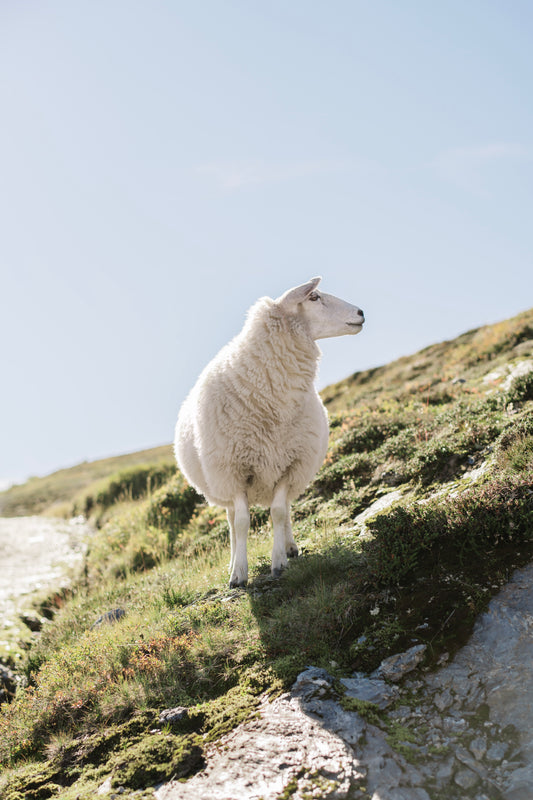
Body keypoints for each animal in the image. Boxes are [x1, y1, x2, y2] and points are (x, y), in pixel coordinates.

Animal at [174, 277, 365, 587]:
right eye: (313, 297)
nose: (361, 313)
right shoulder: (234, 471)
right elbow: (241, 523)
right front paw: (238, 574)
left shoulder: (291, 463)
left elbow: (278, 512)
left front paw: (279, 563)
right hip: (221, 483)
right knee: (231, 522)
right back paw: (233, 561)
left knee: (284, 510)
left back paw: (289, 547)